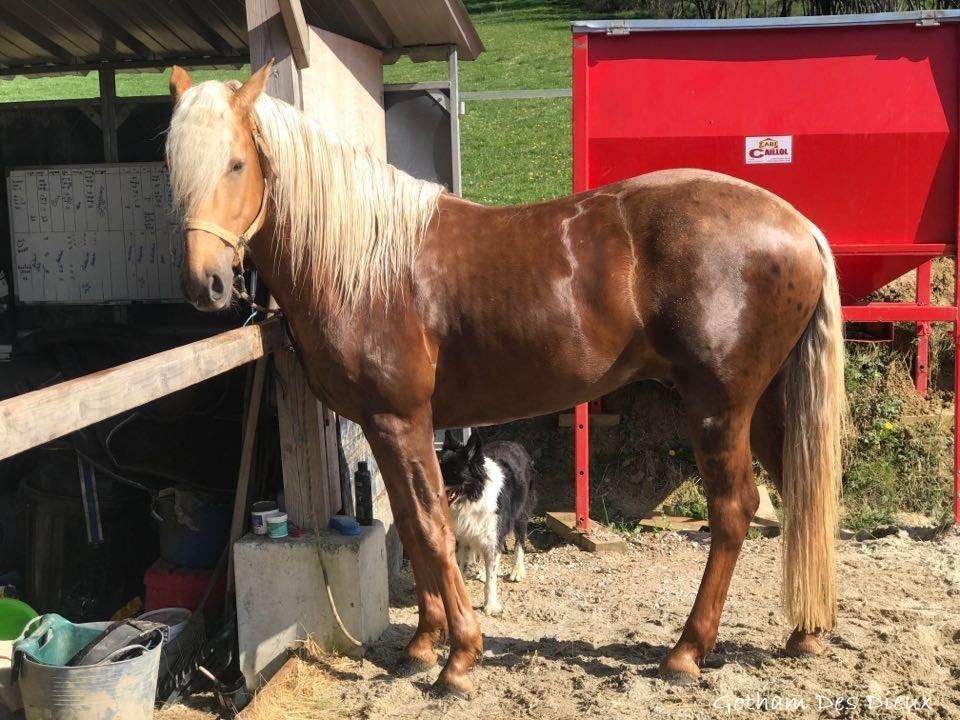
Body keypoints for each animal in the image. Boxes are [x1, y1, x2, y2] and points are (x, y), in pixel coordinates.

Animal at [165, 62, 845, 696]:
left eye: (236, 164)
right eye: (175, 170)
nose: (206, 284)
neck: (365, 264)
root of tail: (800, 227)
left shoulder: (402, 421)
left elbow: (434, 531)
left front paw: (460, 659)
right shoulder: (383, 428)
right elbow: (408, 530)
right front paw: (422, 645)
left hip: (717, 407)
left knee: (734, 512)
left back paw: (685, 652)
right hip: (766, 407)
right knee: (800, 493)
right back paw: (805, 634)